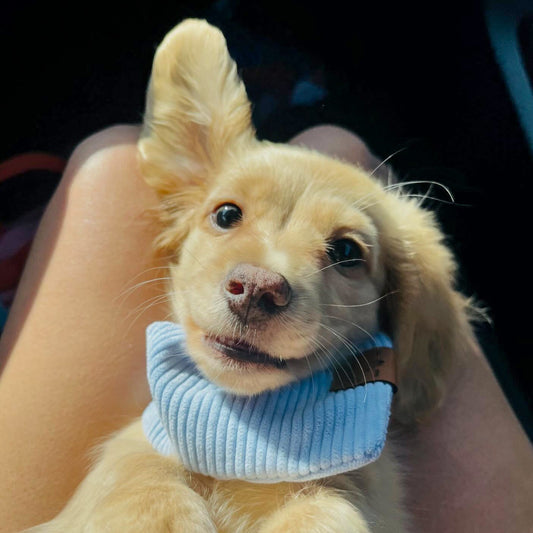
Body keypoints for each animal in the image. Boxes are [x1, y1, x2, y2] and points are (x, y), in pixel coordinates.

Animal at [27, 19, 474, 532]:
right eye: (226, 214)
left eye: (347, 252)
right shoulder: (142, 447)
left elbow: (324, 509)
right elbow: (139, 474)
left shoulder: (359, 494)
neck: (246, 438)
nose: (256, 289)